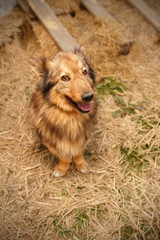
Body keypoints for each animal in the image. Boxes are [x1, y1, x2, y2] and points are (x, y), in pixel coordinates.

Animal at [28, 47, 101, 177]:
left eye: (84, 72)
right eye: (64, 77)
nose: (89, 96)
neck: (70, 115)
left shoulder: (84, 136)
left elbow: (78, 152)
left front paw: (81, 164)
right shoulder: (53, 142)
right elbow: (64, 156)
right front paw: (62, 169)